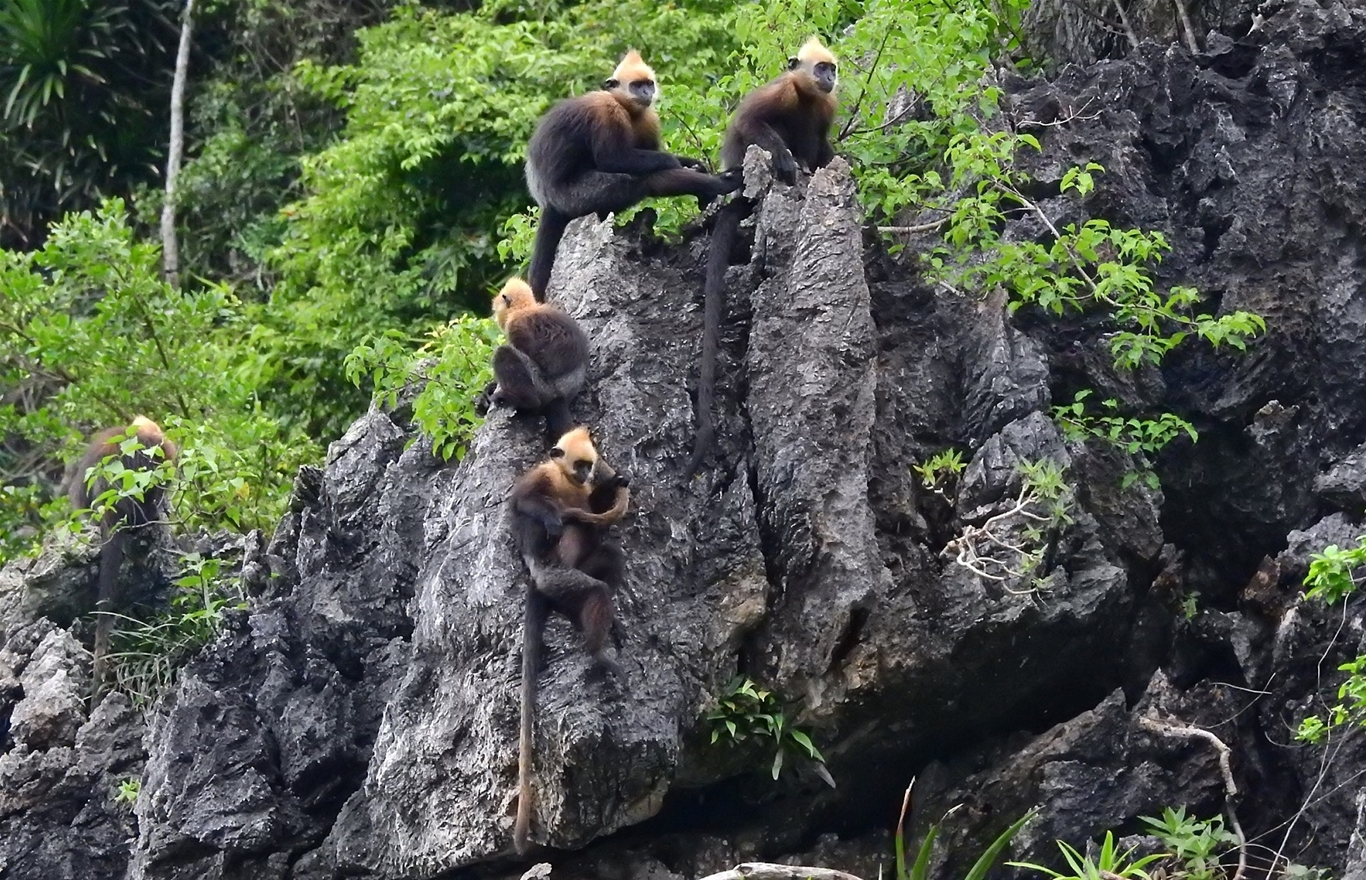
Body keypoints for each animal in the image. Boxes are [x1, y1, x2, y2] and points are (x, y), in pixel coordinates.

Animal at [478, 274, 590, 440]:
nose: (495, 317)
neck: (525, 308)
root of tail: (560, 396)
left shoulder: (516, 326)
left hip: (542, 387)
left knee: (505, 353)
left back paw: (524, 399)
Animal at [513, 426, 631, 852]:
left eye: (587, 465)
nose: (585, 474)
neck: (567, 483)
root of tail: (539, 585)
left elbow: (595, 506)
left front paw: (614, 483)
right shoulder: (542, 476)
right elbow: (520, 500)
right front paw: (550, 517)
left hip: (580, 571)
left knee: (607, 559)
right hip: (557, 578)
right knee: (591, 585)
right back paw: (597, 652)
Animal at [521, 50, 743, 299]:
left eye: (648, 84)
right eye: (636, 86)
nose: (647, 93)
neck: (626, 108)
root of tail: (548, 200)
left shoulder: (649, 117)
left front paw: (693, 163)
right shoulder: (608, 112)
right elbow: (614, 160)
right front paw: (675, 162)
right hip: (576, 196)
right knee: (643, 180)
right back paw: (718, 185)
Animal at [688, 37, 835, 478]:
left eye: (831, 69)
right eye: (820, 68)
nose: (829, 76)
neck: (807, 98)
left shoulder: (827, 107)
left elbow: (823, 144)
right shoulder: (779, 93)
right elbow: (750, 122)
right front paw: (784, 157)